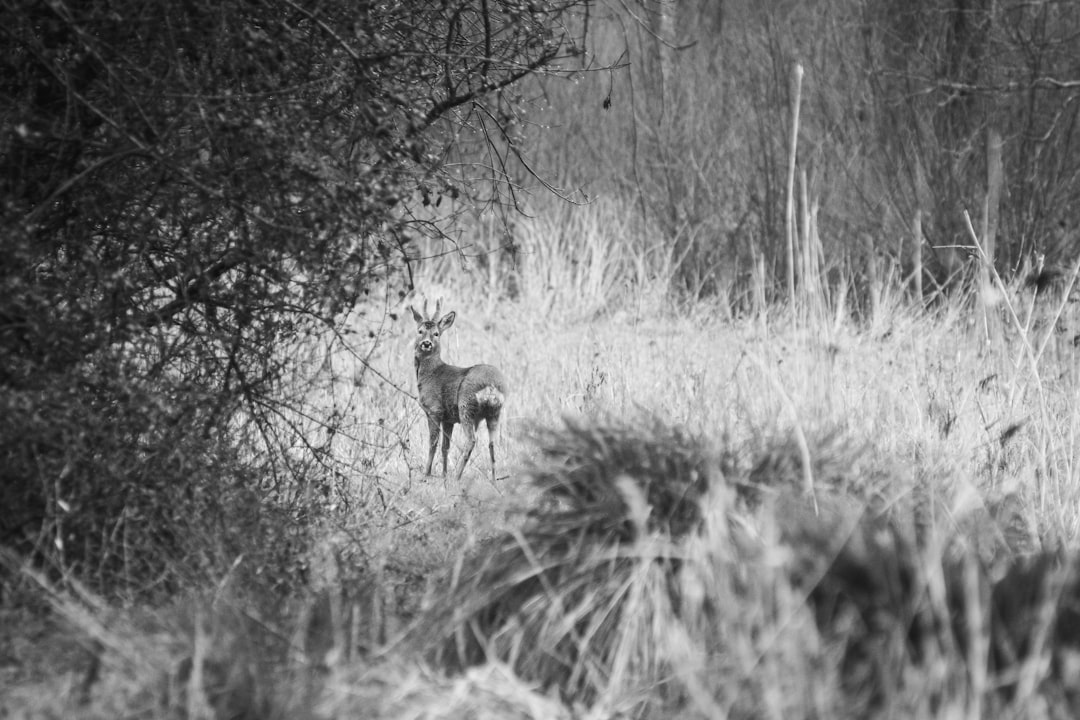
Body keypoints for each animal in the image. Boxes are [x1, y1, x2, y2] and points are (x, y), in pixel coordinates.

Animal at [410, 300, 507, 483]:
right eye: (420, 331)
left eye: (436, 334)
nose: (426, 343)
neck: (430, 373)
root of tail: (491, 385)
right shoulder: (448, 419)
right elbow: (445, 447)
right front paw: (443, 475)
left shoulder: (434, 410)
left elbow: (433, 443)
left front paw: (426, 474)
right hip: (494, 412)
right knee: (493, 443)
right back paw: (493, 479)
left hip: (466, 406)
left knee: (471, 440)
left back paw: (457, 476)